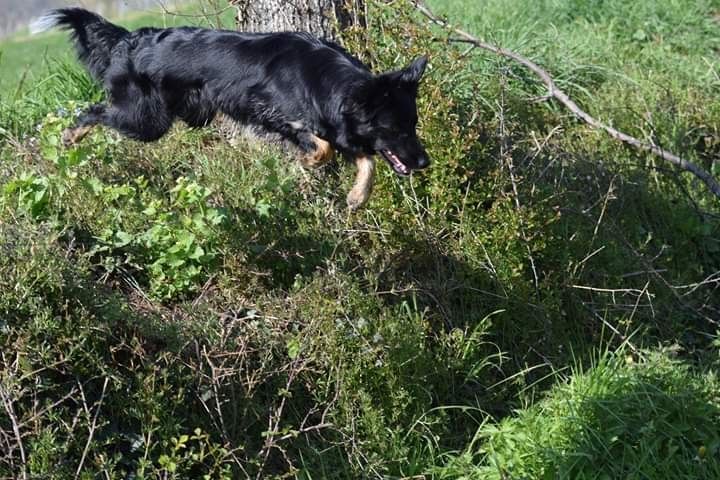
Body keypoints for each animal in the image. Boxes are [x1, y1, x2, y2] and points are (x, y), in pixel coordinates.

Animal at [31, 7, 430, 209]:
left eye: (413, 125)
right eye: (395, 129)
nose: (425, 162)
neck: (327, 79)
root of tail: (130, 39)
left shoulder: (340, 125)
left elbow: (365, 158)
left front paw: (357, 196)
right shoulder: (275, 112)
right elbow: (323, 146)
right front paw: (308, 161)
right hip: (146, 121)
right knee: (93, 110)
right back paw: (70, 136)